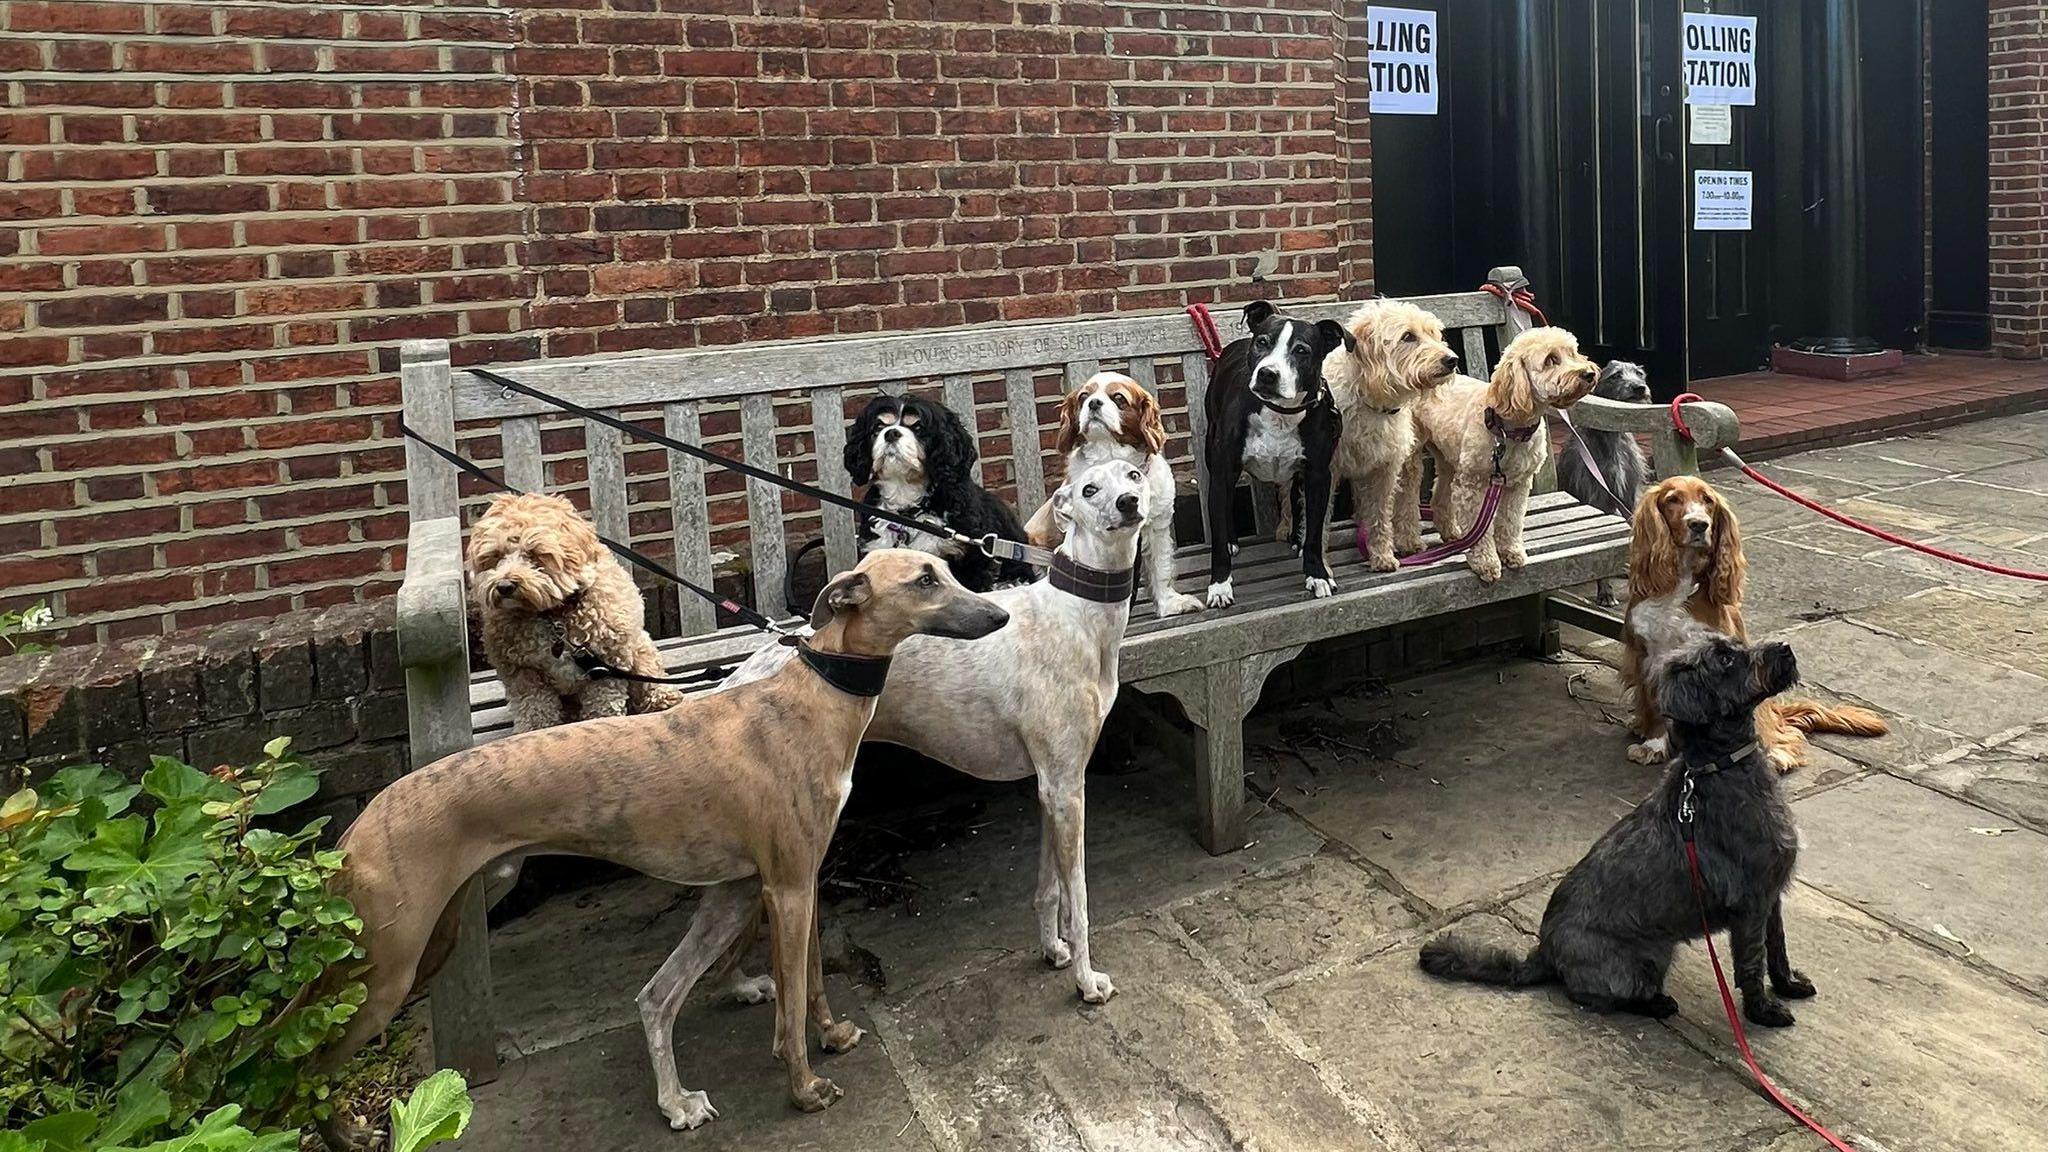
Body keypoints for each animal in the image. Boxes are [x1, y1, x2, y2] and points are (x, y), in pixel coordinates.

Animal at [466, 491, 679, 725]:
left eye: (534, 554)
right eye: (495, 556)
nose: (504, 586)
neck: (553, 616)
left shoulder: (605, 665)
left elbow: (603, 702)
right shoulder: (522, 671)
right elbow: (534, 706)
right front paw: (537, 729)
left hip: (641, 650)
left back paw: (661, 698)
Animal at [733, 457, 1155, 996]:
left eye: (1133, 475)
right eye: (1088, 489)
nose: (1129, 503)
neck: (1077, 613)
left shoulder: (1054, 783)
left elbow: (1049, 890)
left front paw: (1052, 950)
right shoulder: (1065, 789)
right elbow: (1077, 899)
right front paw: (1086, 980)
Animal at [1024, 373, 1196, 614]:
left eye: (1118, 398)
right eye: (1083, 397)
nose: (1094, 403)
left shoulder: (1156, 529)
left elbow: (1160, 567)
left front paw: (1169, 604)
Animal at [1318, 295, 1466, 565]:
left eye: (1434, 333)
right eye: (1408, 336)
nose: (1452, 360)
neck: (1368, 399)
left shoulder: (1386, 468)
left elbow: (1381, 515)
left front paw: (1382, 556)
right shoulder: (1326, 469)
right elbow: (1318, 523)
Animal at [1392, 325, 1597, 578]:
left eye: (1574, 353)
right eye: (1551, 359)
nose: (1589, 373)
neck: (1510, 431)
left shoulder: (1518, 485)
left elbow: (1510, 522)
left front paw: (1511, 552)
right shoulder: (1473, 485)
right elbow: (1480, 532)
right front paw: (1486, 562)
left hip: (1449, 456)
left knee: (1441, 494)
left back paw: (1452, 532)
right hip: (1413, 458)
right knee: (1406, 498)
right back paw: (1409, 542)